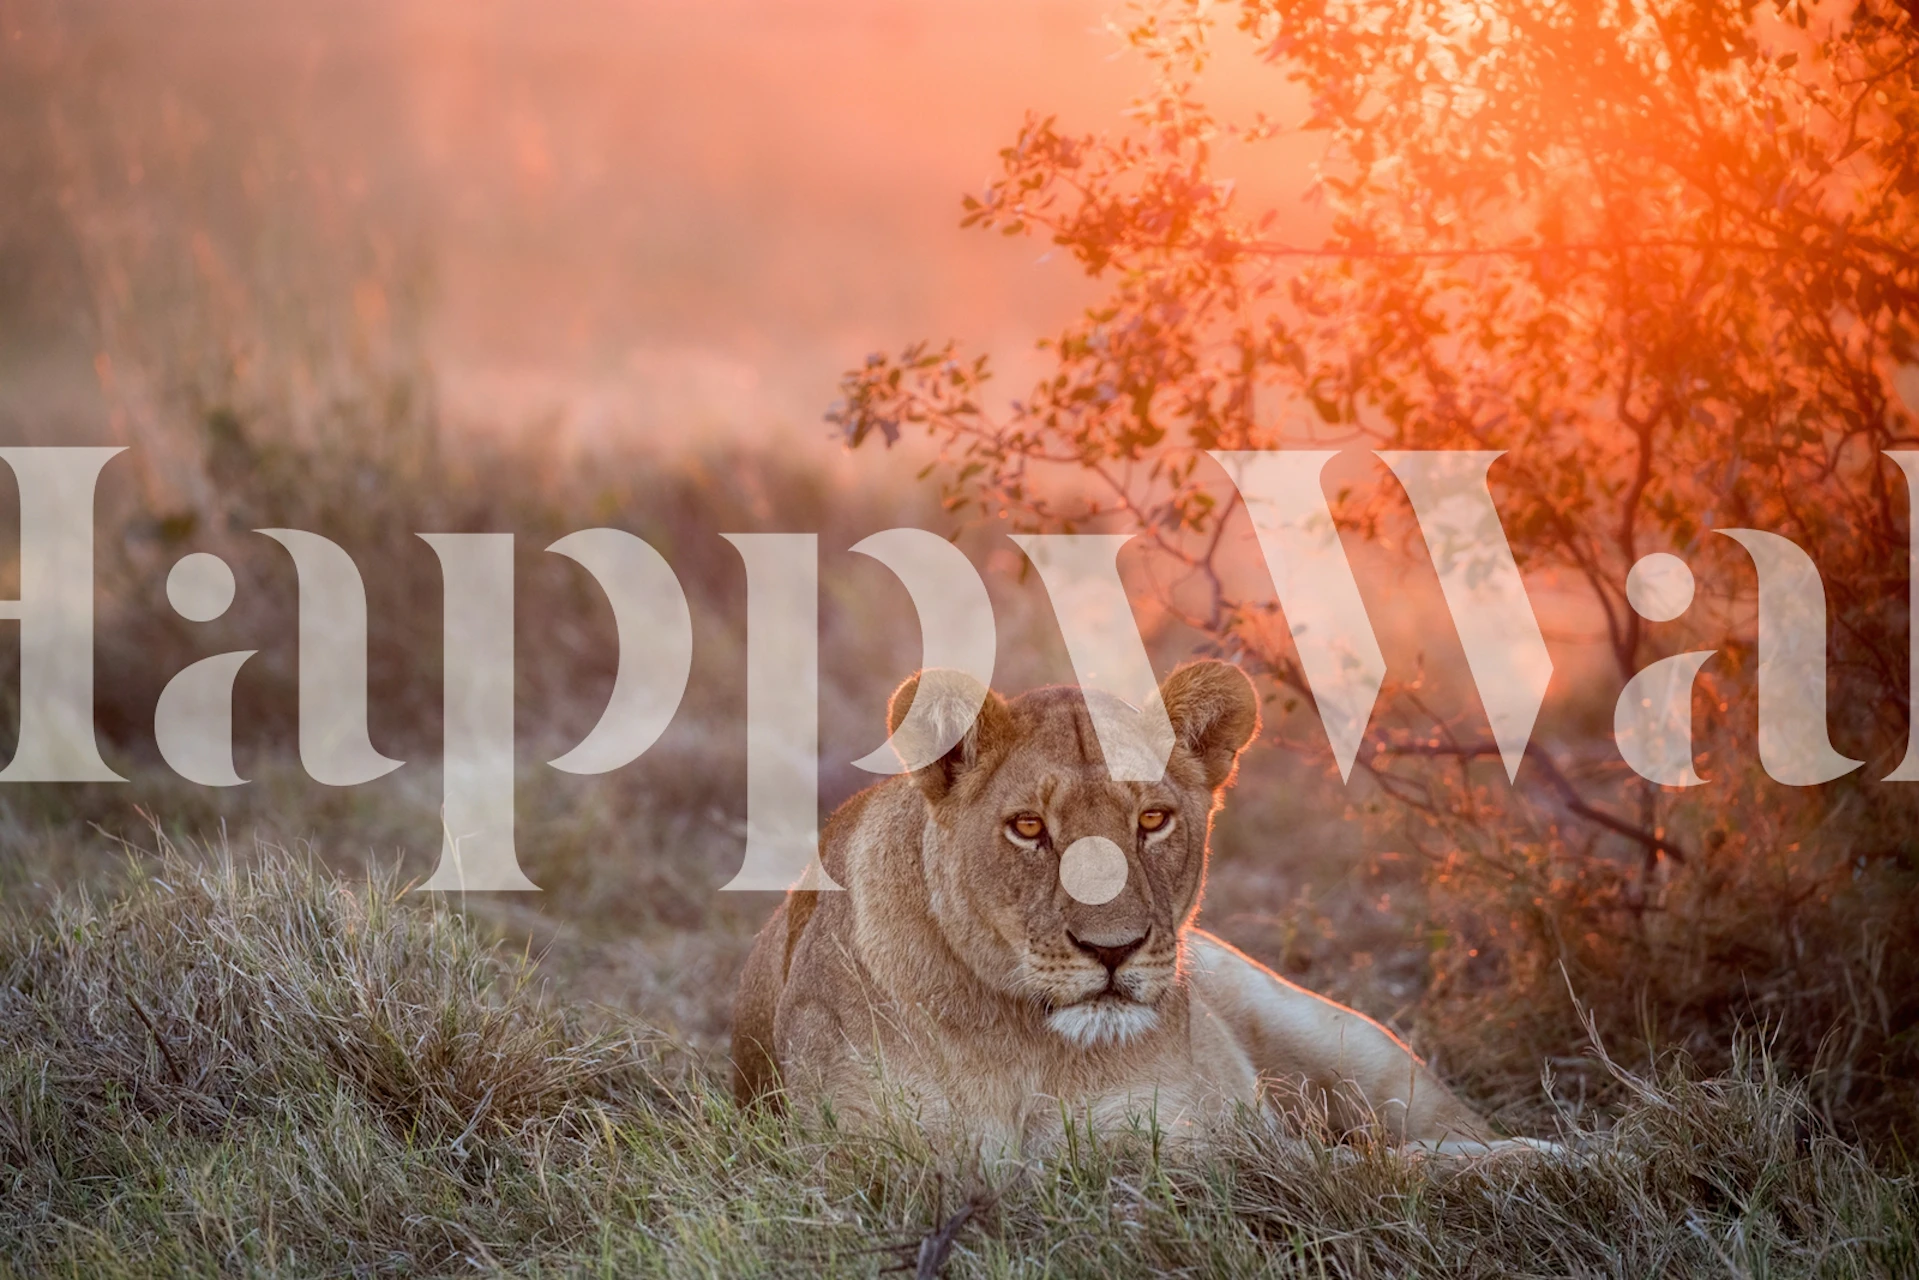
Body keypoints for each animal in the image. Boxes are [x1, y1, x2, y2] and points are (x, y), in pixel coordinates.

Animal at [732, 660, 1543, 1155]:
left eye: (1151, 820)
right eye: (1029, 828)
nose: (1112, 949)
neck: (1029, 1049)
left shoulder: (1194, 1143)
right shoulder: (870, 1155)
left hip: (1348, 1044)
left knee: (1443, 1133)